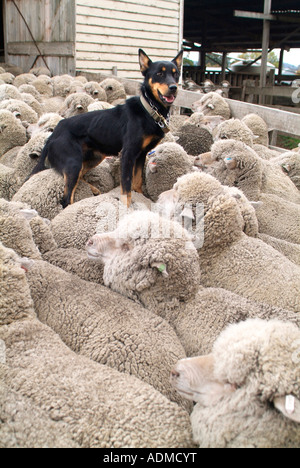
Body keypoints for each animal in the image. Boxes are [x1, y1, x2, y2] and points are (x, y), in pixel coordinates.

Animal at [31, 49, 185, 207]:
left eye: (176, 74)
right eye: (159, 73)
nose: (173, 88)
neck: (149, 110)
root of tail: (54, 133)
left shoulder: (141, 155)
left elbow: (137, 183)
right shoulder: (128, 154)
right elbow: (127, 189)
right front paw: (127, 208)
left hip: (93, 157)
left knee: (79, 178)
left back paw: (92, 189)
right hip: (73, 163)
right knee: (67, 198)